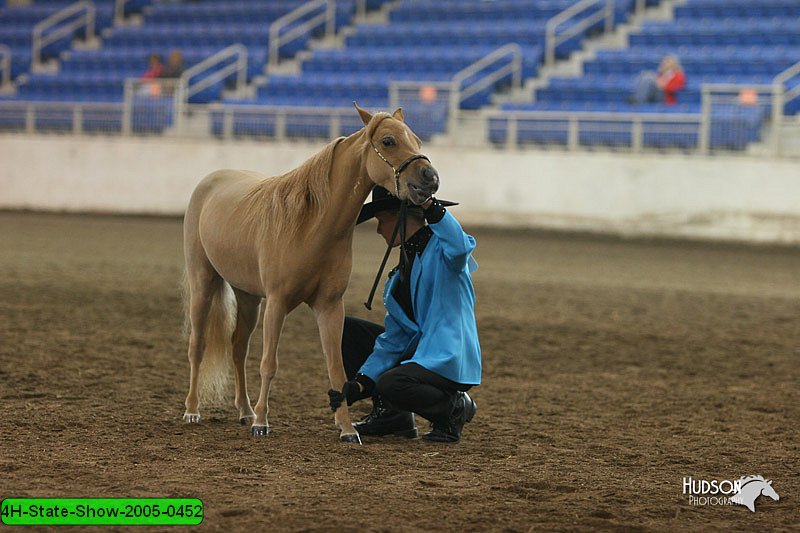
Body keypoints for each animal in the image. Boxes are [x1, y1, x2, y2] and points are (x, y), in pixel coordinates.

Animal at [183, 103, 438, 440]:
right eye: (388, 141)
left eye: (417, 140)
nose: (430, 178)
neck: (311, 225)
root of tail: (211, 180)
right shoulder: (277, 303)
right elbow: (269, 364)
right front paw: (262, 423)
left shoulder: (329, 306)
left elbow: (335, 368)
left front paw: (347, 429)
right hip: (203, 283)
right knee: (198, 347)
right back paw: (194, 411)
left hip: (248, 296)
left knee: (238, 348)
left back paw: (244, 411)